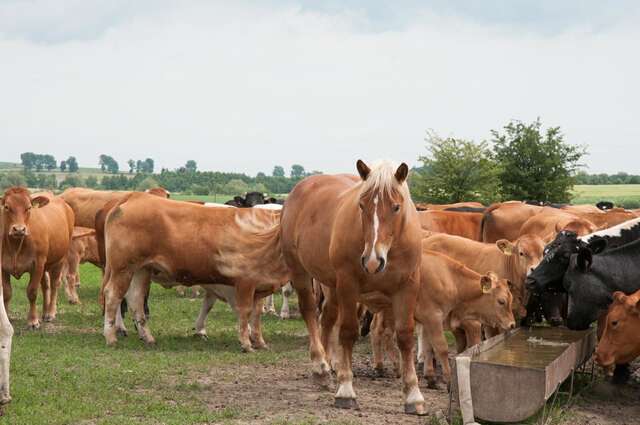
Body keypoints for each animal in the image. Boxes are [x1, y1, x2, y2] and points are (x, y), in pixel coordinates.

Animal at [0, 188, 74, 328]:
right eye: (6, 207)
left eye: (28, 207)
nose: (19, 229)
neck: (16, 246)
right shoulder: (3, 266)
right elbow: (6, 293)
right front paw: (7, 320)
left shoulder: (37, 264)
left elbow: (32, 292)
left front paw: (33, 321)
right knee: (45, 286)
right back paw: (44, 313)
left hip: (59, 260)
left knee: (54, 284)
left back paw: (50, 313)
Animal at [101, 194, 288, 350]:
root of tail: (135, 196)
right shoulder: (244, 283)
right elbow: (244, 311)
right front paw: (246, 343)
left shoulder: (260, 284)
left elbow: (256, 314)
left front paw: (260, 342)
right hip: (122, 268)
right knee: (113, 295)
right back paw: (111, 336)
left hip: (141, 269)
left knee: (135, 299)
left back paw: (147, 337)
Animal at [282, 159, 428, 414]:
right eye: (361, 205)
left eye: (396, 207)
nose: (372, 261)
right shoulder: (348, 284)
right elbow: (349, 332)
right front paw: (346, 390)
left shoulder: (408, 286)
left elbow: (405, 336)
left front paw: (413, 396)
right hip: (300, 271)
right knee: (310, 311)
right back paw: (320, 366)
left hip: (331, 284)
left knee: (327, 317)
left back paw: (328, 366)